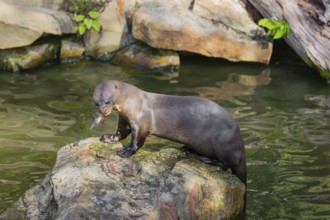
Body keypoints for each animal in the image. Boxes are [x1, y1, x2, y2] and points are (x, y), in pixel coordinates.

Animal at [91, 81, 246, 187]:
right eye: (96, 103)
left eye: (107, 101)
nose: (104, 111)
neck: (132, 101)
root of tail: (240, 144)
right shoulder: (124, 119)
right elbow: (121, 133)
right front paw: (108, 138)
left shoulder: (140, 122)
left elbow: (137, 140)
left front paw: (127, 151)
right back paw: (186, 149)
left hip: (223, 143)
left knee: (227, 163)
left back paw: (206, 159)